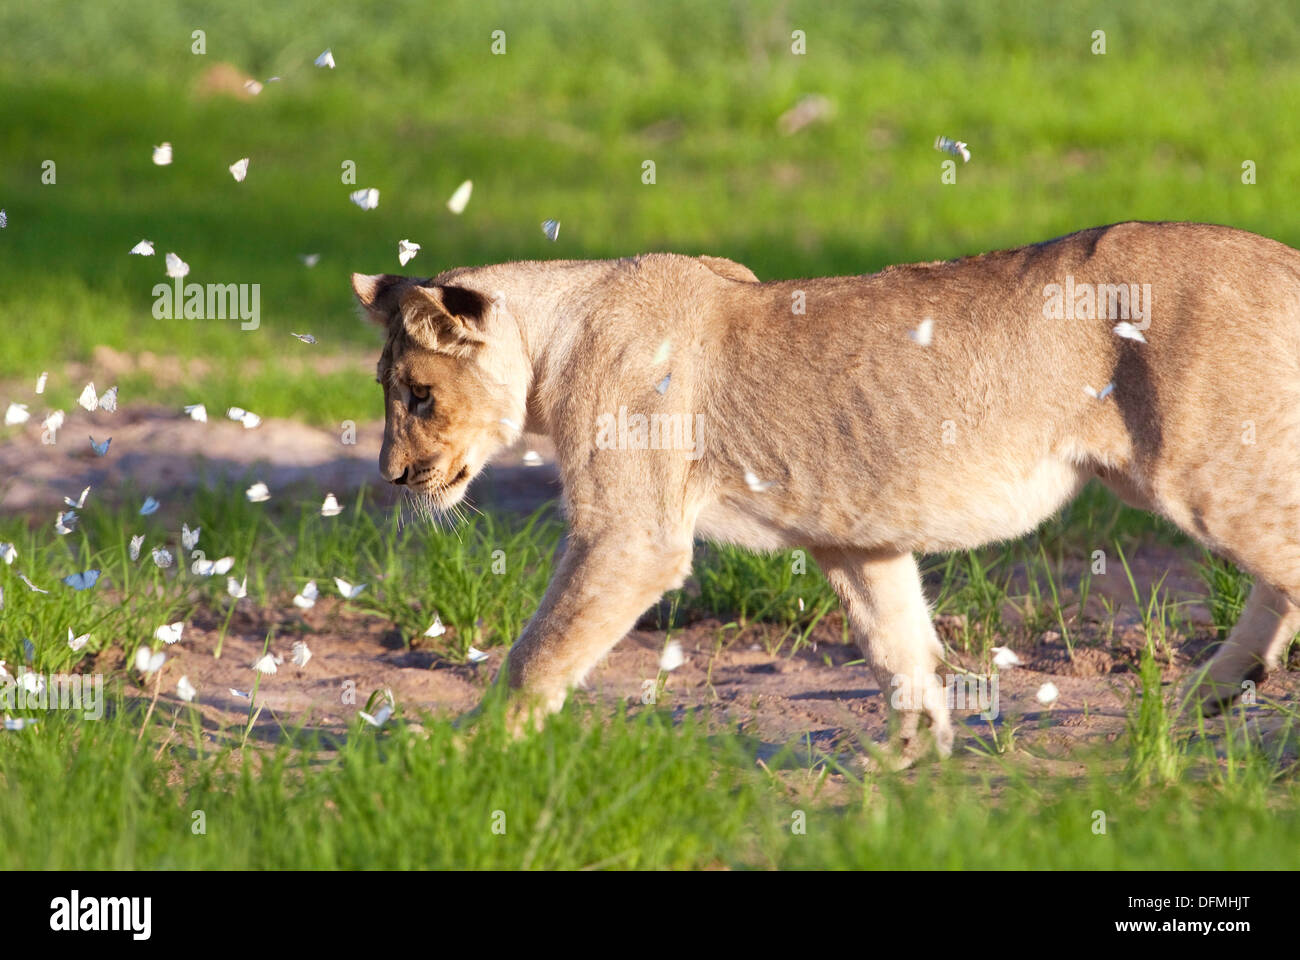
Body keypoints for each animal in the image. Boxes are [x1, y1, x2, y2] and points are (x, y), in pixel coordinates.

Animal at [352, 221, 1300, 764]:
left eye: (420, 395)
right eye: (390, 391)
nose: (392, 475)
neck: (557, 332)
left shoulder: (631, 536)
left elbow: (537, 653)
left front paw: (468, 755)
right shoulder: (858, 538)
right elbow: (901, 649)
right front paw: (909, 772)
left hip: (1205, 468)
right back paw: (1215, 692)